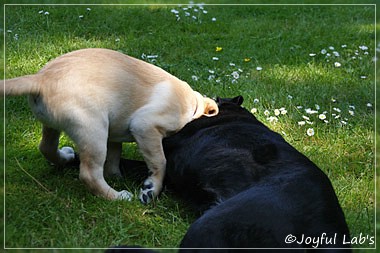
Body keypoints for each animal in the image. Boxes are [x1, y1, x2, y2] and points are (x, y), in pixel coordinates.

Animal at [2, 48, 218, 204]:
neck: (192, 105)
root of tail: (41, 79)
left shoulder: (114, 135)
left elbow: (114, 156)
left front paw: (116, 175)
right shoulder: (145, 125)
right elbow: (160, 162)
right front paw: (151, 189)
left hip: (54, 124)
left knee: (46, 147)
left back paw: (66, 157)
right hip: (93, 129)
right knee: (89, 174)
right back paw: (118, 196)